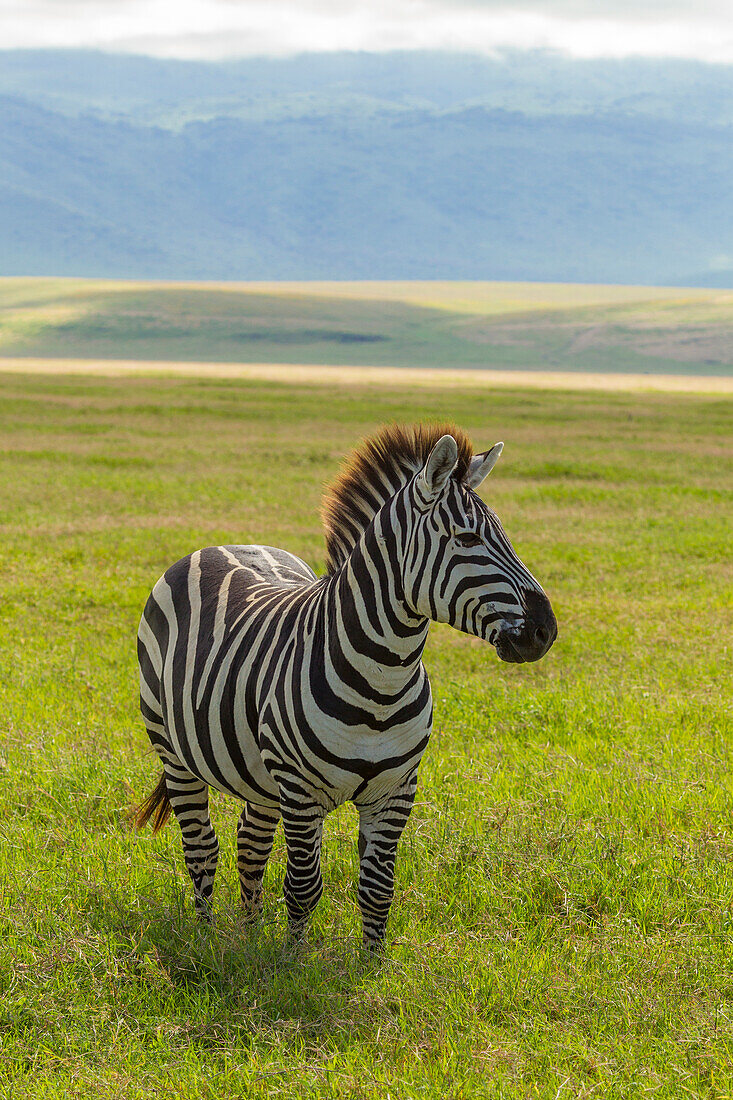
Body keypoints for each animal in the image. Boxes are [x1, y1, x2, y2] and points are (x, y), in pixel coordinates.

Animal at [135, 420, 554, 946]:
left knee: (250, 846)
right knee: (201, 847)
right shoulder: (299, 790)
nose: (545, 630)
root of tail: (221, 546)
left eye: (505, 536)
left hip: (257, 775)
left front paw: (370, 962)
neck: (382, 680)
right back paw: (207, 937)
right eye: (465, 537)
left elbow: (377, 890)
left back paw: (248, 937)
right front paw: (290, 960)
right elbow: (303, 887)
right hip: (173, 752)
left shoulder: (396, 792)